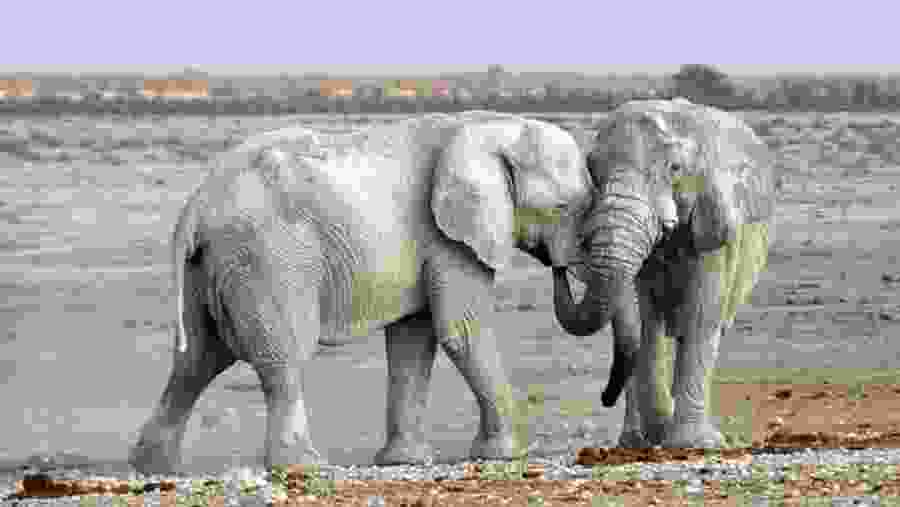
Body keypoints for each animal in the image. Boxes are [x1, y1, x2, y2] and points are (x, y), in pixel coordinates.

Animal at [128, 110, 607, 475]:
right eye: (566, 208)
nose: (561, 266)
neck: (492, 125)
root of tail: (195, 207)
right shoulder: (448, 240)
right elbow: (461, 331)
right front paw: (507, 455)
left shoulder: (432, 244)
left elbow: (414, 341)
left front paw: (404, 462)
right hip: (267, 262)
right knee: (281, 359)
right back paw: (304, 465)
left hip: (210, 269)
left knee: (197, 360)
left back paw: (153, 467)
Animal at [548, 98, 776, 448]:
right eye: (592, 170)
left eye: (675, 169)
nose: (559, 264)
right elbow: (646, 320)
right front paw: (663, 434)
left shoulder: (717, 222)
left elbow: (702, 314)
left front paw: (694, 444)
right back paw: (634, 442)